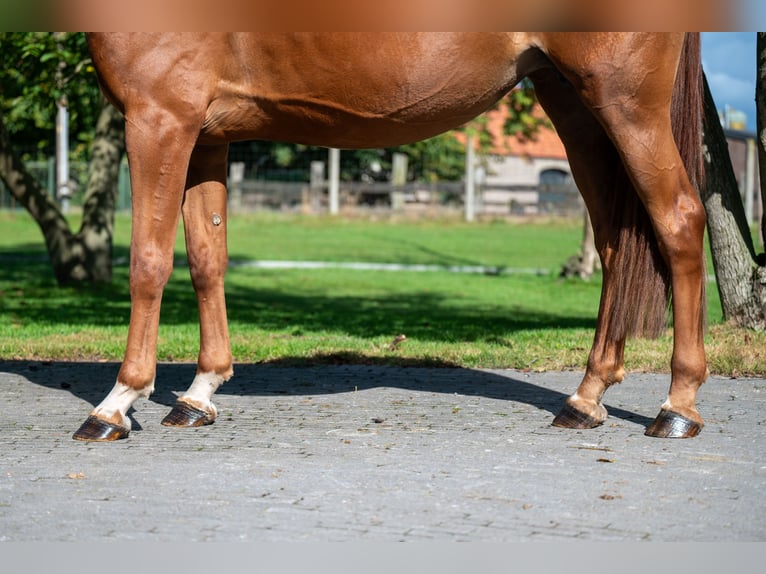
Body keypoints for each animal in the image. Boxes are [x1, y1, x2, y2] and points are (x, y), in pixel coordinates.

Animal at [75, 33, 712, 444]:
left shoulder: (160, 116)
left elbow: (149, 262)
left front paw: (116, 404)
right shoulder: (205, 134)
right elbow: (208, 259)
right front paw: (199, 393)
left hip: (625, 102)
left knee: (680, 222)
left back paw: (677, 407)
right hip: (573, 103)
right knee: (614, 245)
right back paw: (586, 399)